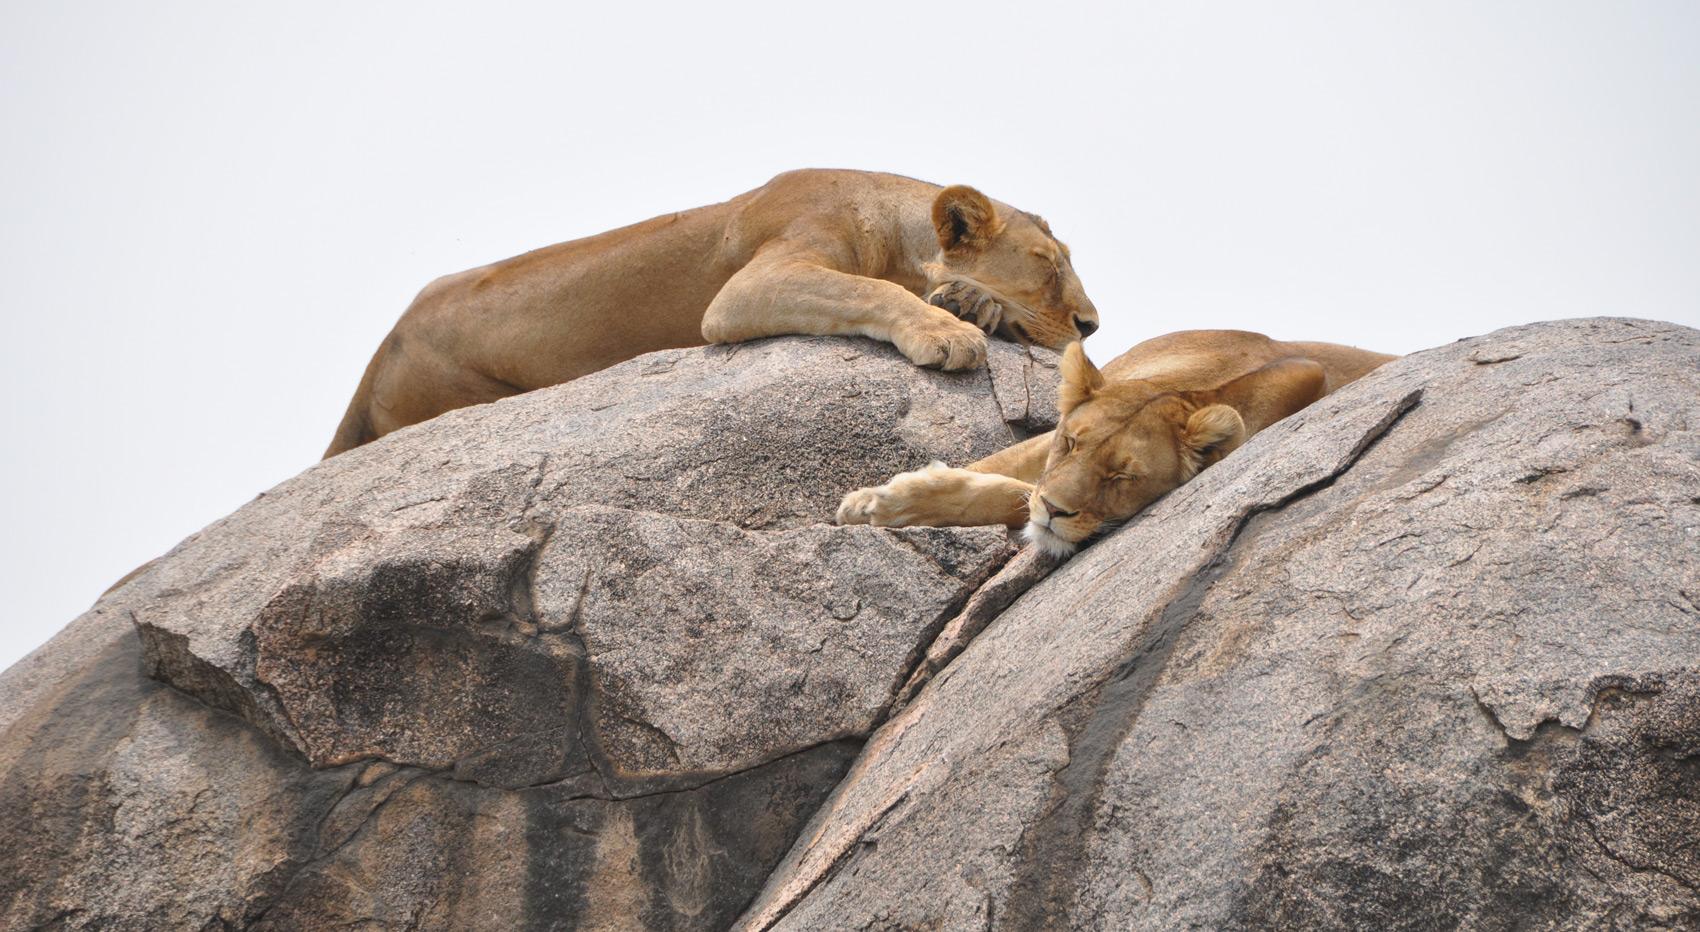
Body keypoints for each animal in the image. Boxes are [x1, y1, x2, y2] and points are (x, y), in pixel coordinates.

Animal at [324, 169, 1100, 457]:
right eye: (1049, 265)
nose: (1093, 326)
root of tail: (378, 353)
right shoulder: (752, 282)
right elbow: (870, 291)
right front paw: (948, 330)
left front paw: (970, 303)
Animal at [836, 330, 1396, 555]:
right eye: (1071, 444)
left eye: (1121, 476)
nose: (1054, 512)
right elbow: (997, 470)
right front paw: (870, 500)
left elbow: (1008, 492)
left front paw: (887, 501)